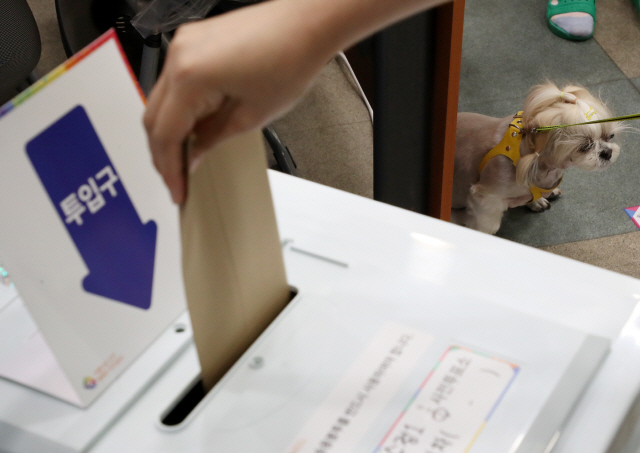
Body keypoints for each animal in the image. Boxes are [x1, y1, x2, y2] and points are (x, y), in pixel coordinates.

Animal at [450, 82, 620, 235]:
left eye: (610, 136)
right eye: (585, 146)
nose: (607, 152)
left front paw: (537, 201)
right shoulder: (485, 197)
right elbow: (487, 225)